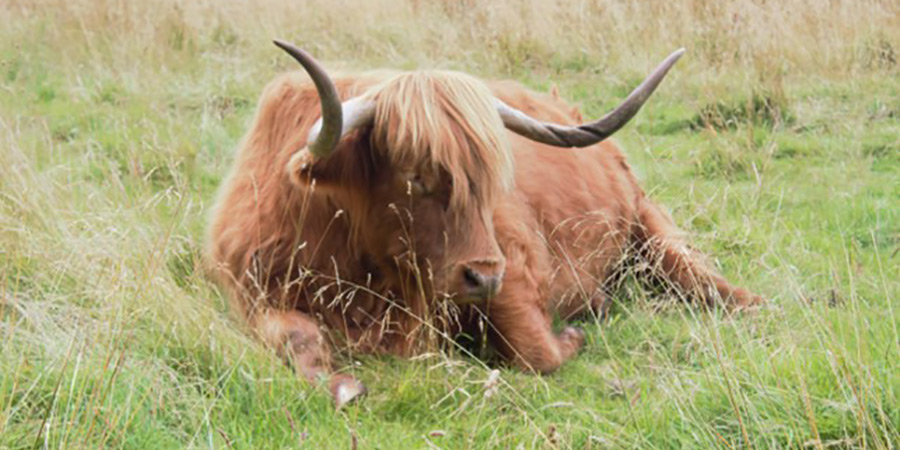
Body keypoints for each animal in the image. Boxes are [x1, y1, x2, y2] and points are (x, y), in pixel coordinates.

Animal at [207, 40, 764, 408]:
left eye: (491, 182)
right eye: (414, 175)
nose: (482, 276)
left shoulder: (513, 263)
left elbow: (535, 351)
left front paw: (574, 335)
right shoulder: (253, 289)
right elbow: (293, 336)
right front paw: (340, 385)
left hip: (647, 226)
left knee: (698, 277)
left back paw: (750, 303)